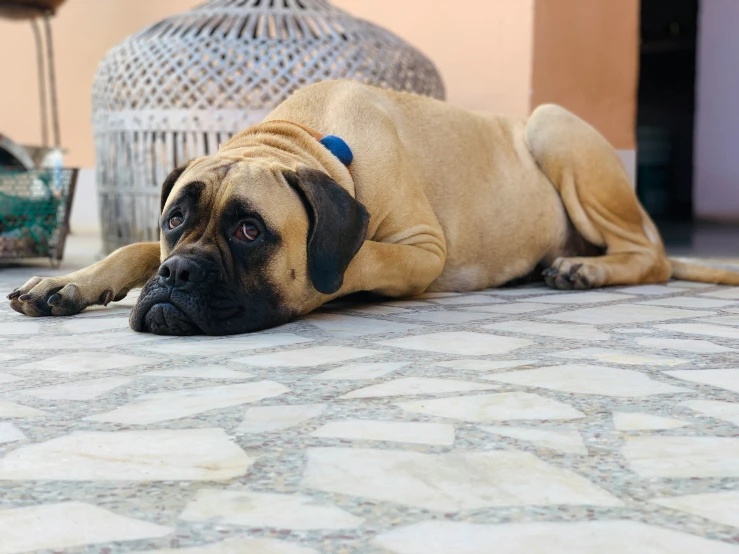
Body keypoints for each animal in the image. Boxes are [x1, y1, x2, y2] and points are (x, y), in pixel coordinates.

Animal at [7, 80, 739, 334]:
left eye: (249, 230)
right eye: (174, 221)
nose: (177, 274)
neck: (303, 140)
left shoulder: (420, 250)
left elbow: (345, 266)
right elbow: (131, 246)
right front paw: (72, 283)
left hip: (552, 126)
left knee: (648, 257)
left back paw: (585, 268)